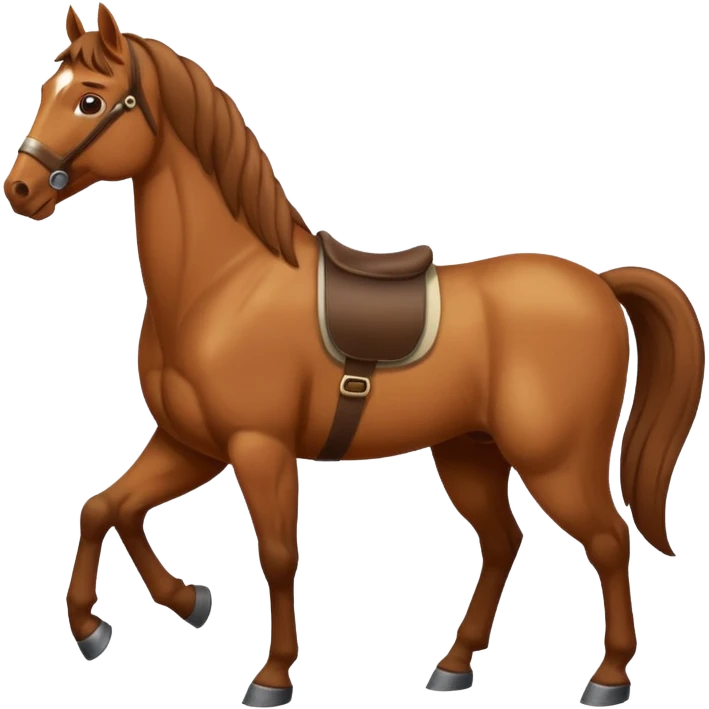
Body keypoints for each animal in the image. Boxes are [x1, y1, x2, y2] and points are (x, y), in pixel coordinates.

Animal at [4, 4, 704, 708]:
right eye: (46, 92)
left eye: (90, 101)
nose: (21, 190)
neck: (223, 283)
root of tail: (600, 284)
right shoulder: (190, 444)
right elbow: (104, 507)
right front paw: (142, 614)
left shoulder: (256, 447)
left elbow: (277, 554)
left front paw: (271, 674)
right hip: (469, 452)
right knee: (504, 541)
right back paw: (454, 665)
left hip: (556, 461)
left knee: (609, 541)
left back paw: (608, 677)